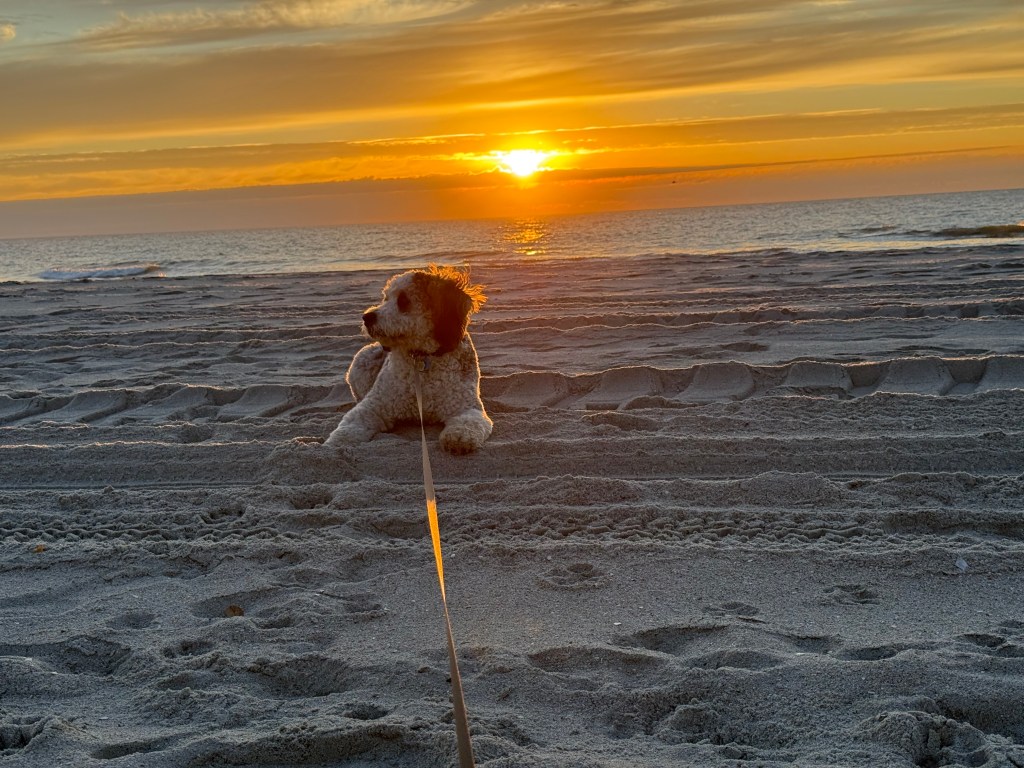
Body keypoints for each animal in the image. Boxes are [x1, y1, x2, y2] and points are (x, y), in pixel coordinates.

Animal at [324, 265, 492, 454]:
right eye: (385, 298)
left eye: (403, 300)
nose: (366, 317)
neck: (421, 357)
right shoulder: (374, 406)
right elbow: (349, 427)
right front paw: (333, 445)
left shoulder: (466, 406)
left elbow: (468, 423)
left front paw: (458, 438)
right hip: (363, 360)